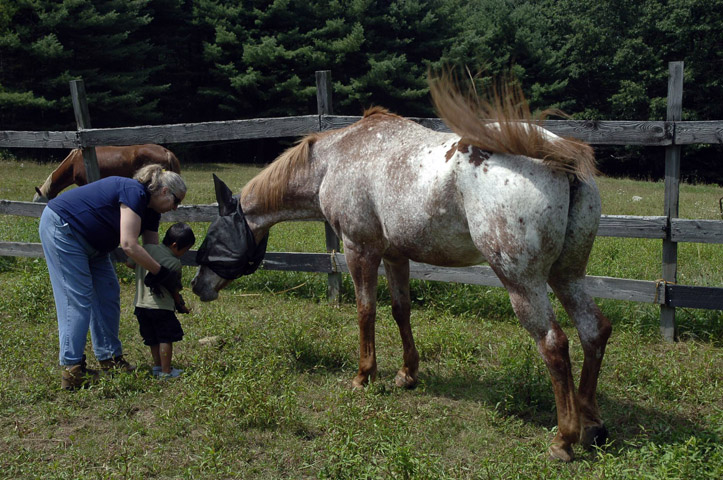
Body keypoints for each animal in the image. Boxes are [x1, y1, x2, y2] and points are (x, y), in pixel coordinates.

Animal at [191, 75, 612, 462]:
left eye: (213, 235)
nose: (197, 285)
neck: (335, 159)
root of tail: (558, 156)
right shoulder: (395, 255)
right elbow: (400, 310)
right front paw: (407, 374)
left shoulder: (359, 249)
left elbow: (366, 311)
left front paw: (364, 375)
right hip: (566, 274)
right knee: (594, 329)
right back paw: (591, 424)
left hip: (522, 282)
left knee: (554, 344)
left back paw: (564, 439)